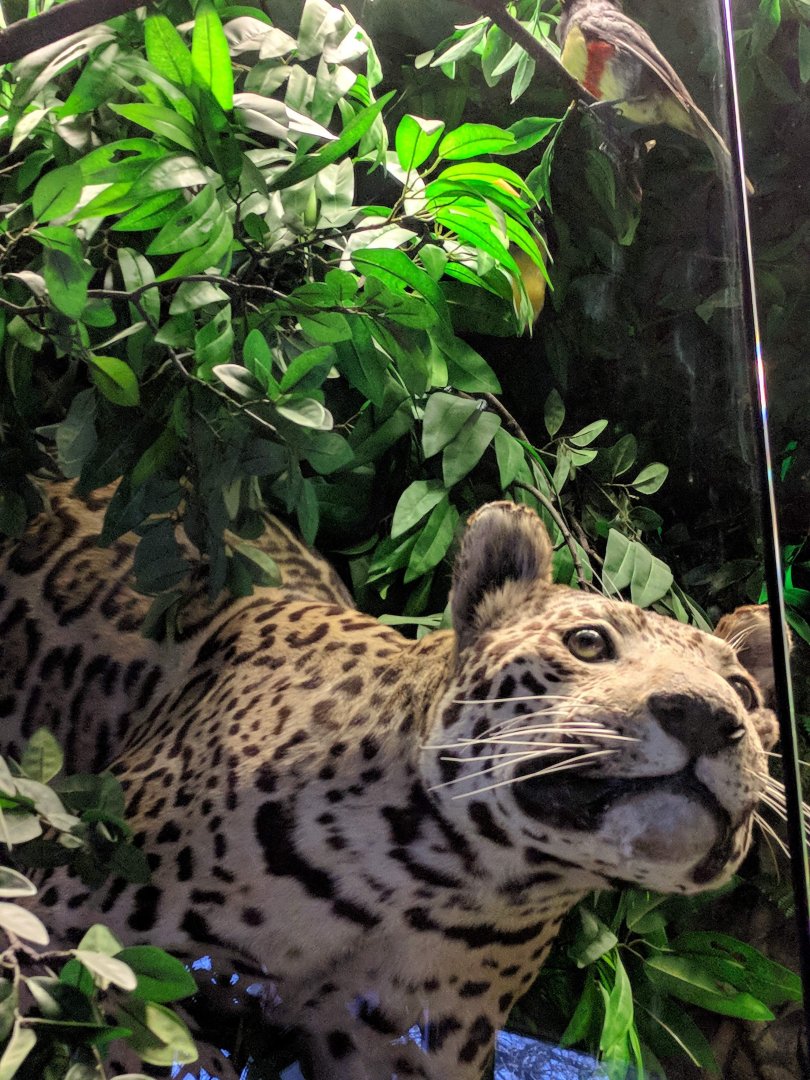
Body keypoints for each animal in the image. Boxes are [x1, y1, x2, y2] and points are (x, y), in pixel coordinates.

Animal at [0, 481, 780, 1080]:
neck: (443, 881)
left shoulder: (402, 1054)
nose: (708, 717)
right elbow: (152, 1044)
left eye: (742, 690)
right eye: (588, 642)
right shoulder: (55, 928)